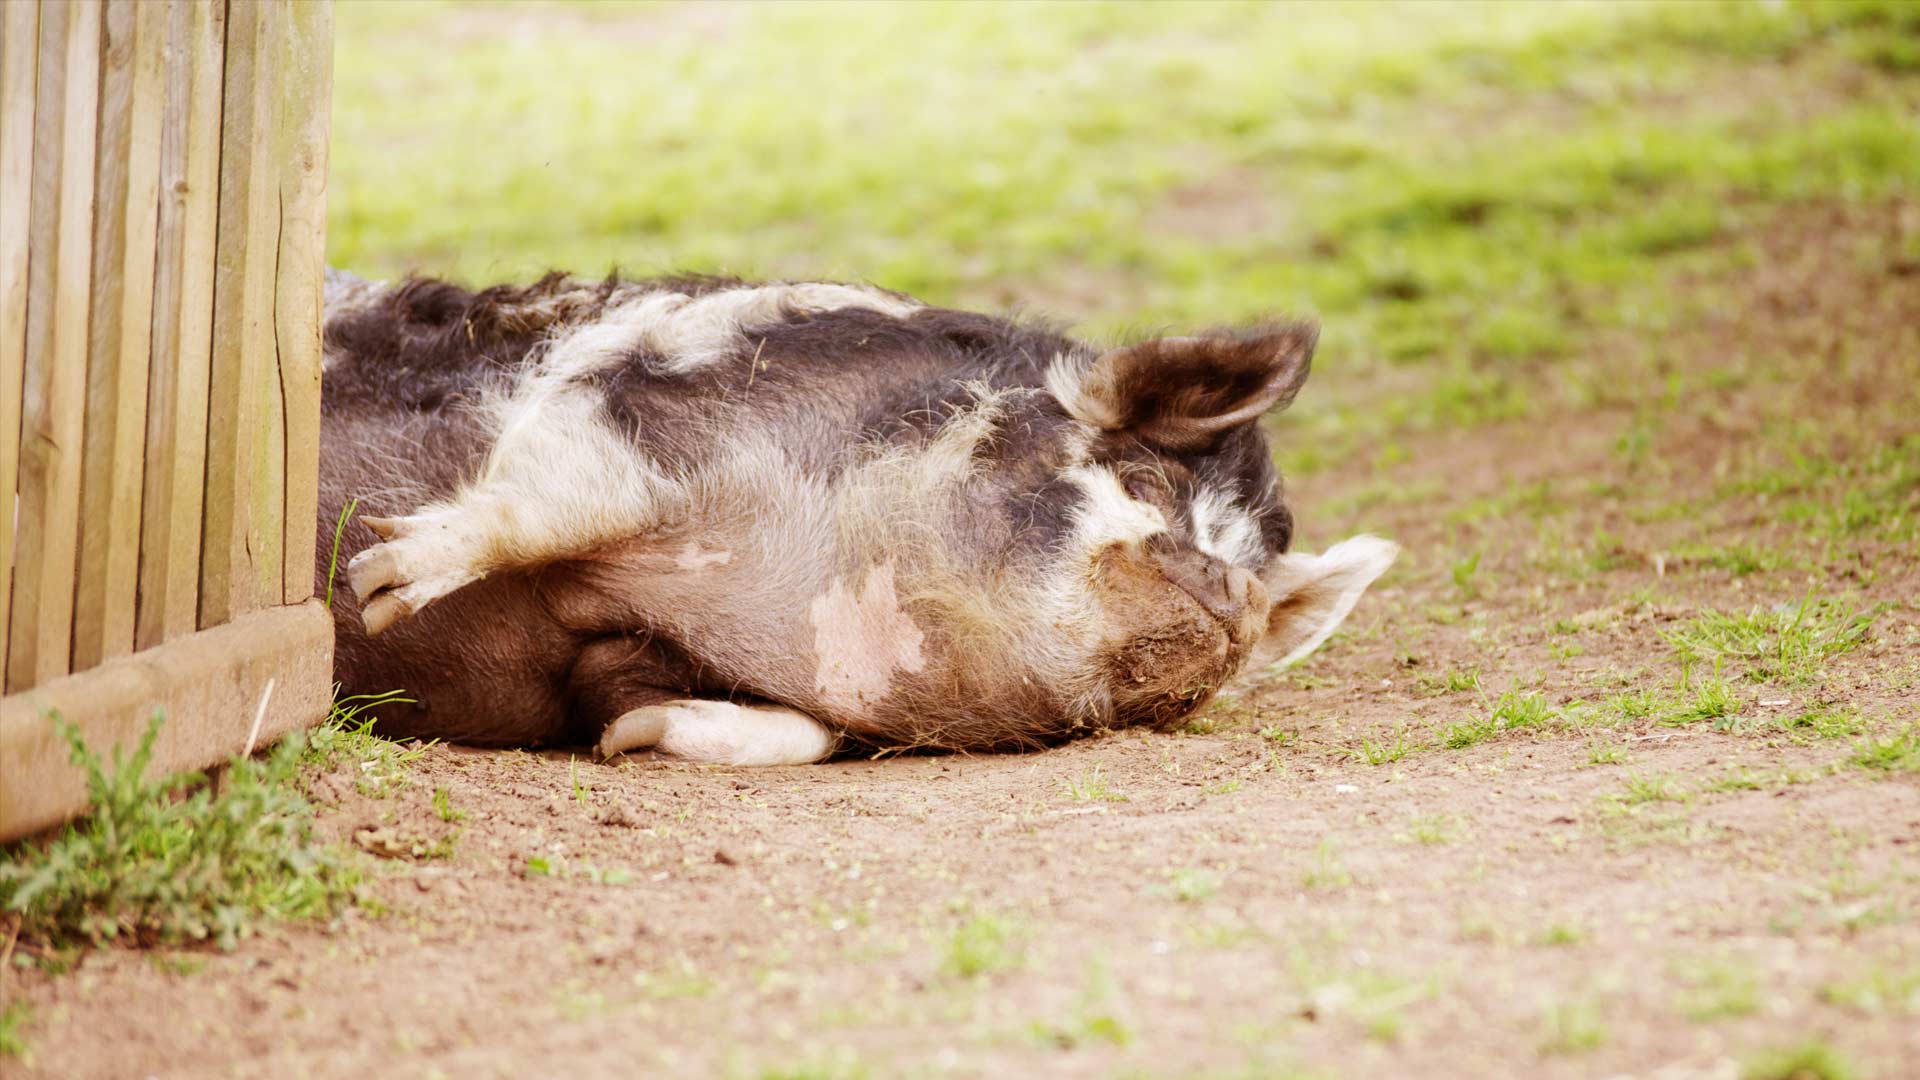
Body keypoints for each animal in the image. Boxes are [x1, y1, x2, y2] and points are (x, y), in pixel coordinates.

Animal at [314, 267, 1397, 764]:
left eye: (1253, 557)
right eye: (1148, 476)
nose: (1235, 591)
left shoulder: (652, 652)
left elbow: (794, 733)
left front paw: (628, 742)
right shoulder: (642, 400)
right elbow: (548, 497)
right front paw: (379, 581)